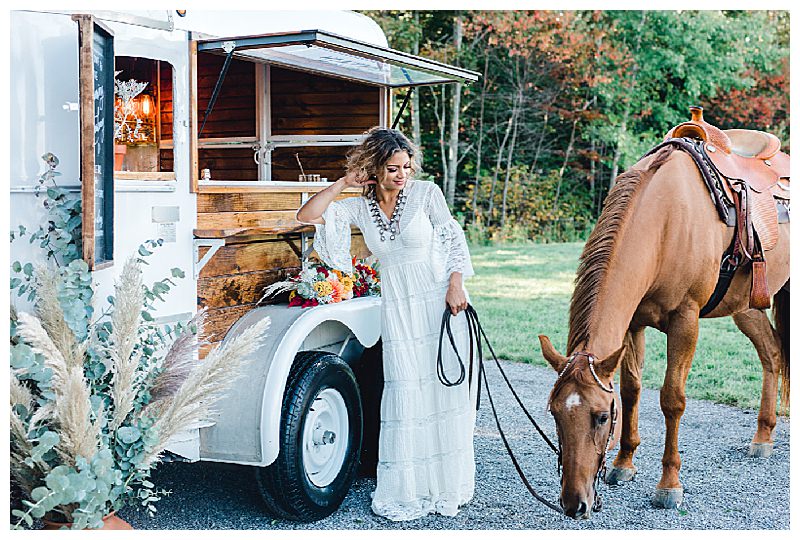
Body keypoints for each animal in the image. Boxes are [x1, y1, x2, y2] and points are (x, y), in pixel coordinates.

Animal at [536, 140, 792, 520]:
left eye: (601, 417)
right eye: (554, 413)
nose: (574, 503)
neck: (665, 223)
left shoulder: (685, 320)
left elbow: (672, 399)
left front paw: (669, 485)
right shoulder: (633, 323)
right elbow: (631, 390)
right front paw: (623, 463)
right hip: (746, 307)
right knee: (771, 352)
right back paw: (763, 437)